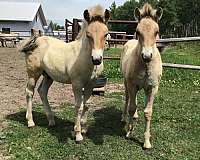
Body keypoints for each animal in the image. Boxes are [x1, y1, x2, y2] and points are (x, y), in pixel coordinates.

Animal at [19, 5, 110, 142]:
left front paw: (84, 128)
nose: (97, 59)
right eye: (88, 35)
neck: (84, 57)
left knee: (42, 91)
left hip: (48, 76)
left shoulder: (91, 84)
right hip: (33, 73)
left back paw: (51, 121)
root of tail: (36, 40)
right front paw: (78, 134)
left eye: (105, 34)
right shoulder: (77, 84)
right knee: (29, 92)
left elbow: (87, 105)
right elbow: (79, 106)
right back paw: (30, 121)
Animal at [120, 3, 162, 149]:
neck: (145, 66)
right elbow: (131, 107)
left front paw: (147, 142)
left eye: (156, 32)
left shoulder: (152, 88)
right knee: (128, 98)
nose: (147, 56)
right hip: (126, 83)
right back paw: (124, 118)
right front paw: (129, 132)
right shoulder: (132, 84)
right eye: (138, 31)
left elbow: (148, 112)